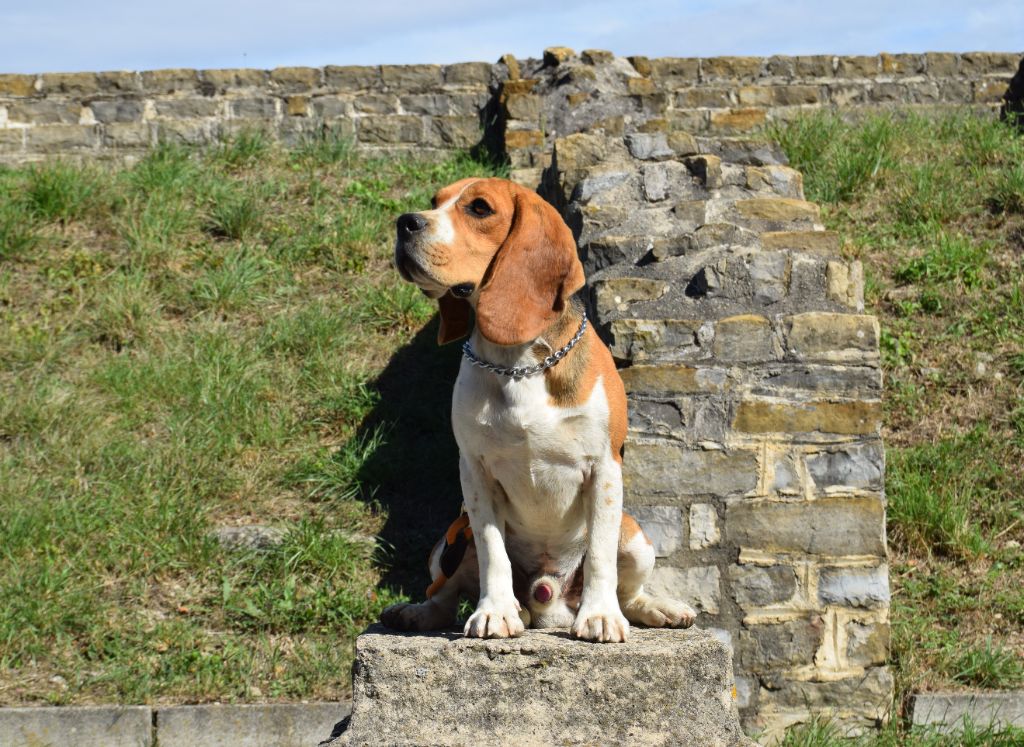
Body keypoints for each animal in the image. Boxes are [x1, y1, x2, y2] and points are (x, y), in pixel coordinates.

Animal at [382, 176, 696, 639]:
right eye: (435, 202)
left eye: (479, 208)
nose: (405, 223)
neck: (517, 364)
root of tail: (547, 596)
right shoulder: (474, 472)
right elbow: (492, 549)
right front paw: (495, 611)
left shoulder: (604, 468)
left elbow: (600, 555)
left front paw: (600, 616)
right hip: (447, 544)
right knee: (444, 594)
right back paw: (420, 613)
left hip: (635, 536)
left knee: (629, 592)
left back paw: (656, 608)